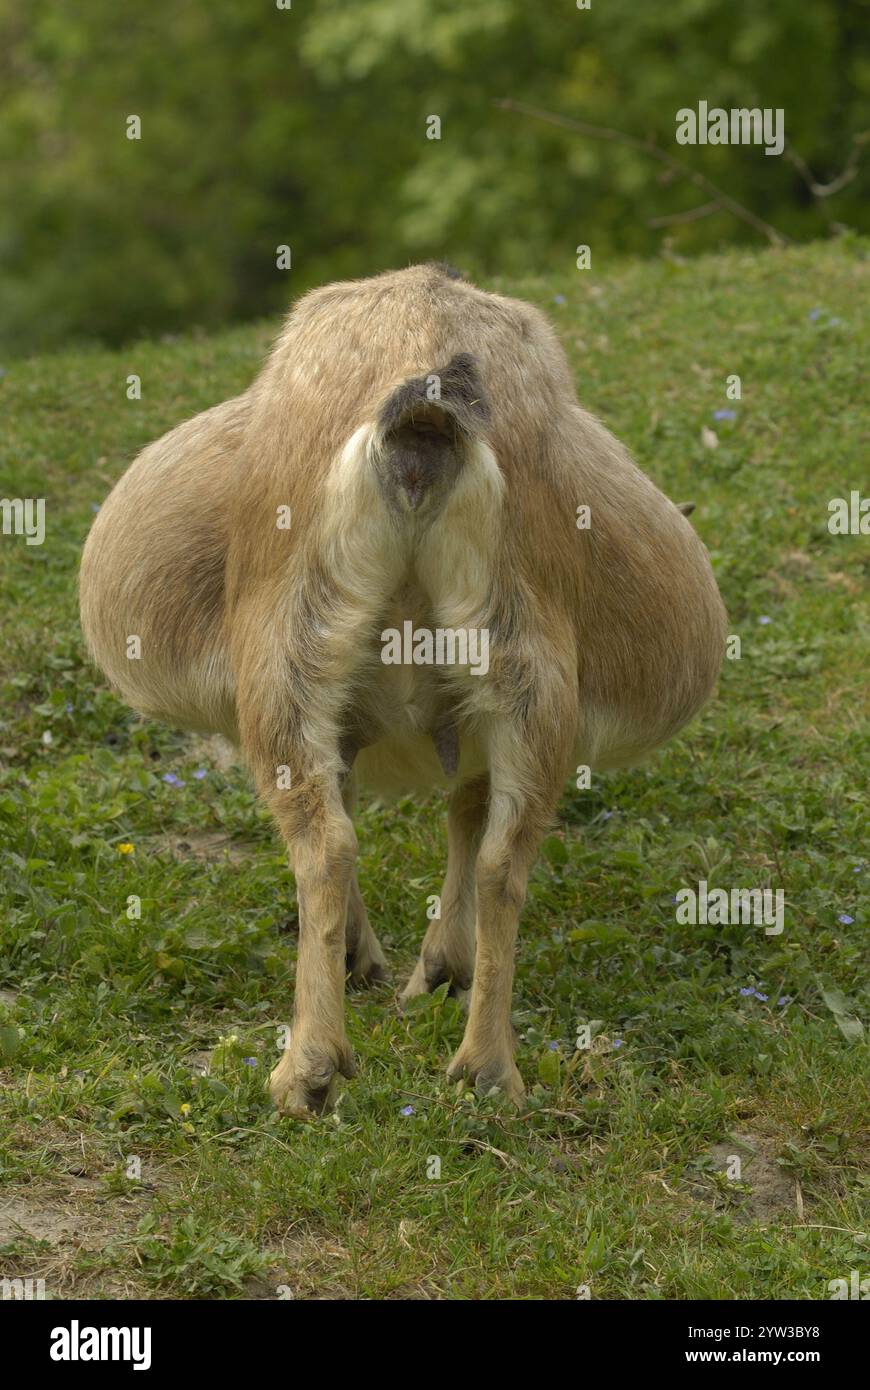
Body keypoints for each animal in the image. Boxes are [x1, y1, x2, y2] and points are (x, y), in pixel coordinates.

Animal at [79, 262, 722, 1117]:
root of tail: (422, 409)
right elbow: (455, 813)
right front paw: (422, 968)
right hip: (523, 669)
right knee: (498, 857)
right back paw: (485, 1070)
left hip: (291, 655)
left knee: (327, 841)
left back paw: (311, 1070)